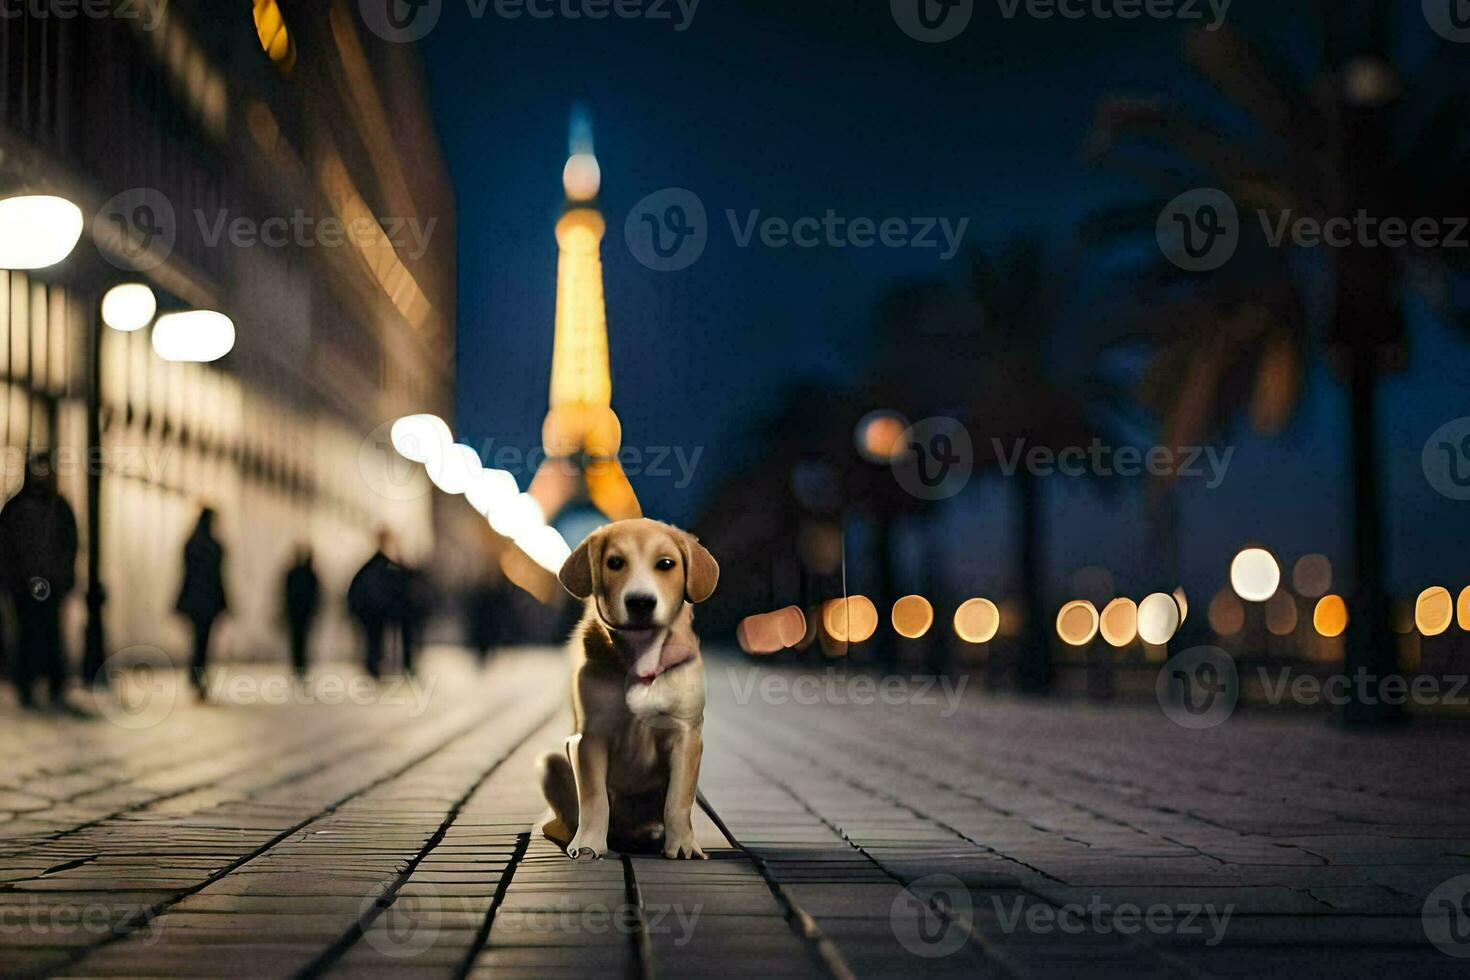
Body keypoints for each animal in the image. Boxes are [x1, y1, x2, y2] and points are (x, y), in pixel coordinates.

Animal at [543, 517, 720, 863]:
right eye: (615, 563)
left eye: (666, 564)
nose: (640, 601)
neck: (640, 654)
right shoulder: (588, 738)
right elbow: (594, 798)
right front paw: (589, 844)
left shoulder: (686, 735)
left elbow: (678, 800)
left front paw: (682, 845)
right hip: (552, 761)